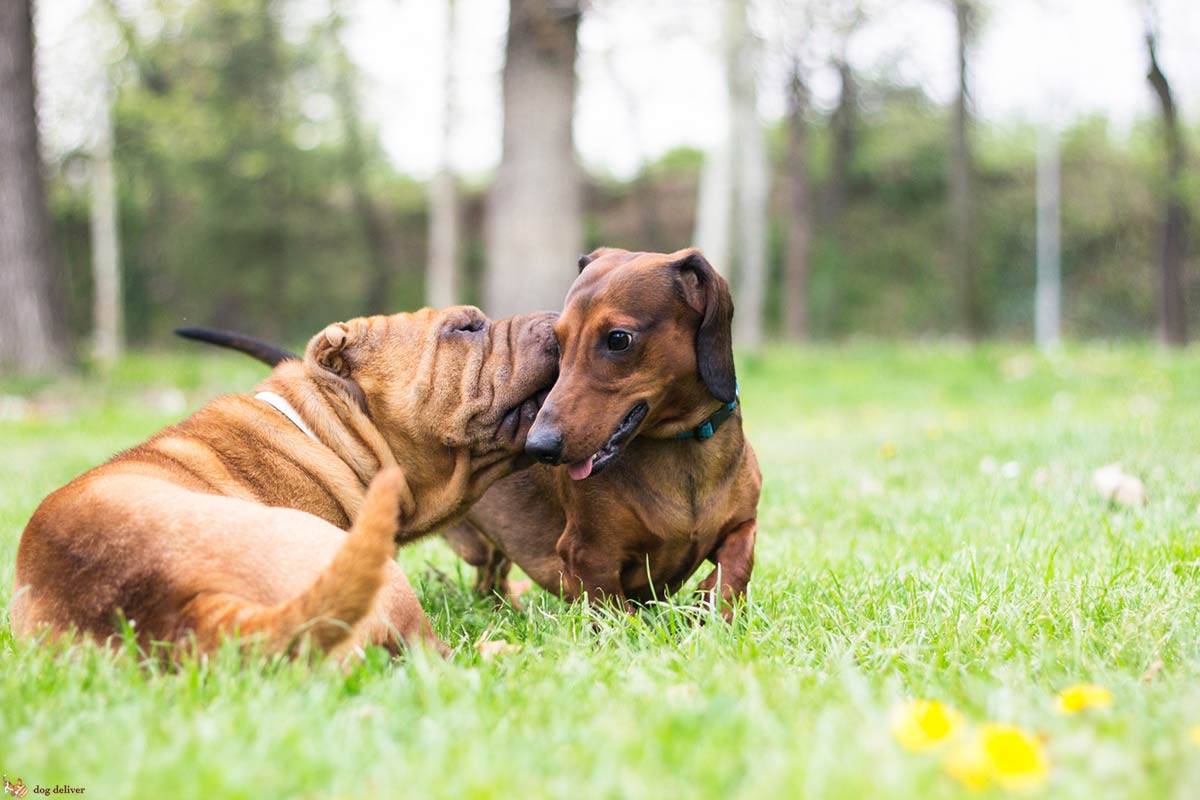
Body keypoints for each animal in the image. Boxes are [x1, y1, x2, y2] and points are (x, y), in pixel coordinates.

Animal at [180, 248, 758, 618]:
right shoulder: (588, 554)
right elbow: (610, 610)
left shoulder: (743, 523)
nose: (542, 448)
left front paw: (712, 607)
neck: (679, 454)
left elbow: (738, 561)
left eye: (618, 340)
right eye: (560, 340)